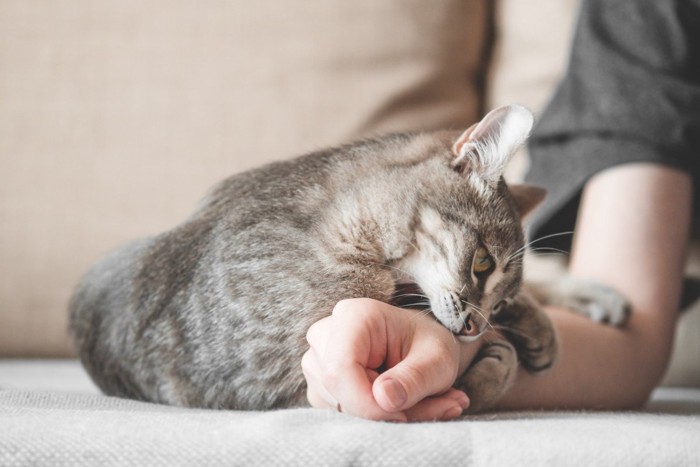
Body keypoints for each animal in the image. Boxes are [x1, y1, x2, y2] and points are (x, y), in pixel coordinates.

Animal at [69, 105, 628, 414]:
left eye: (500, 290)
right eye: (483, 264)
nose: (474, 328)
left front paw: (529, 323)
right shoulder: (289, 381)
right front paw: (495, 361)